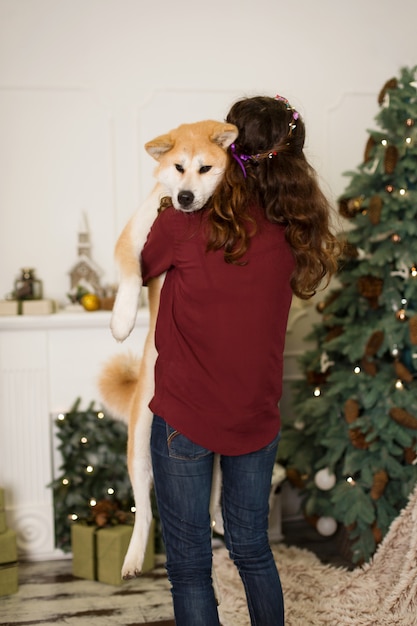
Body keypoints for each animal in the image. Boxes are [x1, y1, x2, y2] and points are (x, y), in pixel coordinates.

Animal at [96, 118, 234, 576]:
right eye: (177, 167)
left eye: (205, 168)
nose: (185, 197)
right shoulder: (132, 237)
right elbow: (128, 274)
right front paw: (122, 319)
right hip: (140, 442)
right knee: (144, 509)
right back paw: (134, 556)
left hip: (217, 456)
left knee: (212, 497)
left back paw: (218, 520)